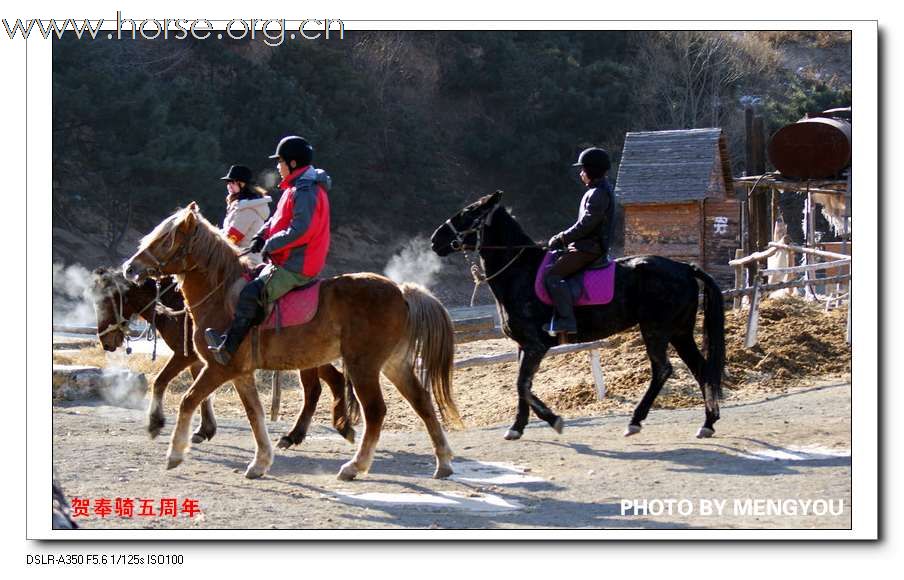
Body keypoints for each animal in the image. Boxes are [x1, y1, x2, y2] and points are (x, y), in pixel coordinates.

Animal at [89, 266, 356, 446]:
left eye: (108, 300)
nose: (105, 341)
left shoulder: (185, 356)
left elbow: (162, 381)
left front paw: (158, 423)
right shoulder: (201, 360)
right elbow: (201, 393)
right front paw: (204, 429)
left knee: (314, 390)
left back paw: (295, 435)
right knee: (335, 380)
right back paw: (340, 426)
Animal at [120, 204, 460, 480]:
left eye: (165, 239)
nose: (130, 268)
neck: (222, 294)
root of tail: (402, 291)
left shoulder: (219, 368)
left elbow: (188, 400)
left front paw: (175, 452)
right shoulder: (241, 374)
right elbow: (255, 415)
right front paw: (260, 462)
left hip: (363, 366)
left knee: (374, 411)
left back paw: (354, 465)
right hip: (393, 364)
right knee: (422, 402)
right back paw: (443, 461)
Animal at [432, 190, 728, 440]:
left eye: (468, 213)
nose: (435, 240)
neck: (519, 272)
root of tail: (685, 267)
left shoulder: (535, 346)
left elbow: (521, 385)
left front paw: (553, 420)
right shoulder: (523, 346)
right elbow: (522, 386)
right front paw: (517, 426)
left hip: (656, 329)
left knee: (662, 370)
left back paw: (635, 421)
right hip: (680, 332)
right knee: (701, 369)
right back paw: (708, 423)